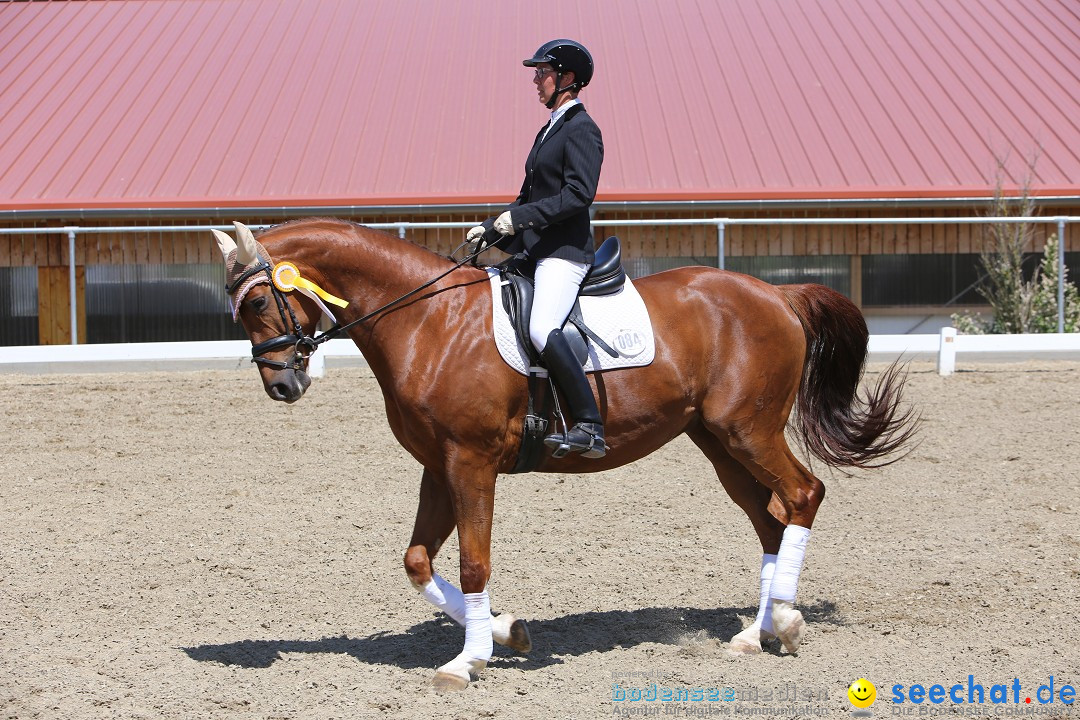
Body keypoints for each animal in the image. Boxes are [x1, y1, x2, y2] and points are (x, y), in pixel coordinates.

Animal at [212, 218, 920, 690]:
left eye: (258, 299)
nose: (282, 385)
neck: (428, 321)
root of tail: (776, 294)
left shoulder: (470, 462)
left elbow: (473, 563)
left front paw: (467, 661)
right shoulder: (437, 466)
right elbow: (417, 561)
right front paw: (505, 632)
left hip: (749, 430)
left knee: (802, 495)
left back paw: (789, 623)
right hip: (719, 444)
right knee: (772, 522)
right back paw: (757, 632)